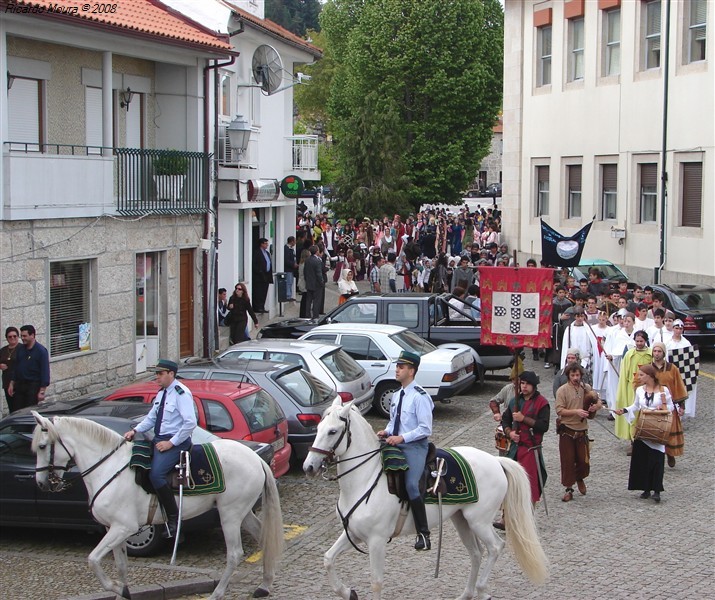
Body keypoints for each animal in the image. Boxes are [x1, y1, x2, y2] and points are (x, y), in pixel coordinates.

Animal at [30, 412, 284, 600]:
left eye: (42, 447)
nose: (41, 483)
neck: (108, 467)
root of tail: (255, 458)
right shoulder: (114, 529)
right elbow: (121, 565)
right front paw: (123, 591)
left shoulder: (124, 527)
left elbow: (93, 560)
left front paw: (117, 588)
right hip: (242, 512)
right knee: (263, 537)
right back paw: (265, 584)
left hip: (229, 515)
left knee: (234, 553)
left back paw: (218, 593)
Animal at [302, 398, 548, 600]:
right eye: (318, 428)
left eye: (332, 431)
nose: (308, 467)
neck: (366, 478)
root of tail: (496, 461)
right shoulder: (352, 532)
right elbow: (328, 559)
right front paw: (347, 592)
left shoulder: (376, 540)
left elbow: (376, 582)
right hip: (461, 520)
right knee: (476, 553)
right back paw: (466, 594)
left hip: (478, 521)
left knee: (496, 547)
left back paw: (482, 590)